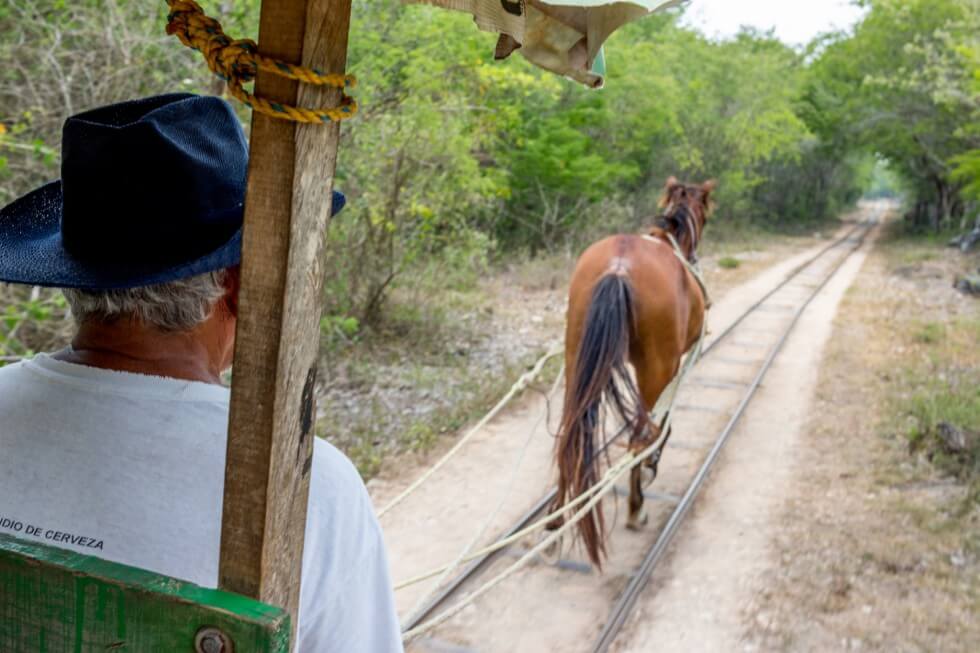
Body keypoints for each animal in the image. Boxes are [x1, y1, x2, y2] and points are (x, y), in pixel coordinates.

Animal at [552, 177, 712, 564]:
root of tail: (619, 267)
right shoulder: (673, 368)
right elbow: (663, 423)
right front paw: (654, 463)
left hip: (576, 359)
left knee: (570, 432)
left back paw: (556, 522)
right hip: (654, 368)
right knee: (641, 434)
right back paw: (636, 507)